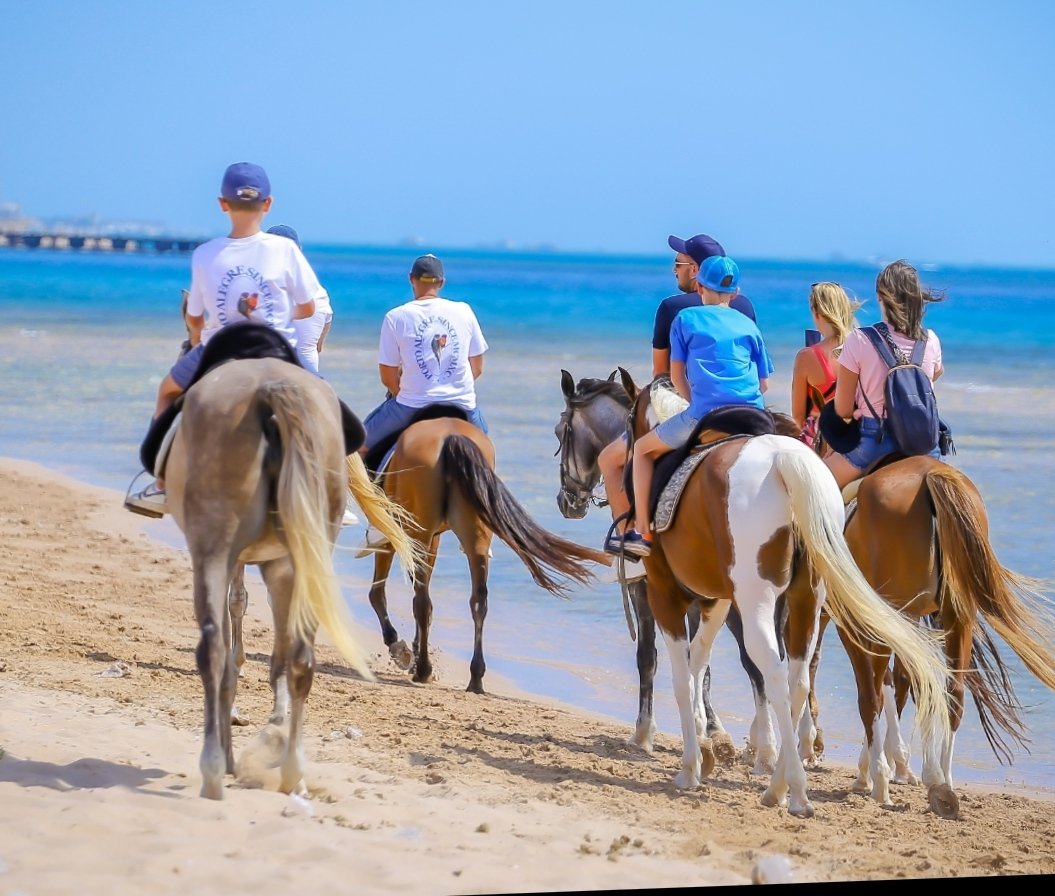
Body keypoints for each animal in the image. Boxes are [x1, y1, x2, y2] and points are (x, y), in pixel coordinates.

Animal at [162, 353, 422, 800]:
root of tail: (271, 388)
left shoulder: (241, 560)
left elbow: (236, 635)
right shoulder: (278, 563)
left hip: (214, 547)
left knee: (213, 649)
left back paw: (215, 771)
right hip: (302, 555)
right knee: (299, 657)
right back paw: (291, 773)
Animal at [363, 410, 613, 694]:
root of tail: (451, 437)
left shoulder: (398, 528)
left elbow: (378, 592)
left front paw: (400, 648)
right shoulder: (430, 538)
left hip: (420, 529)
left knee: (422, 600)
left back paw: (424, 669)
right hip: (475, 537)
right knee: (477, 600)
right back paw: (475, 677)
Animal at [619, 369, 952, 818]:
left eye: (628, 425)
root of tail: (783, 460)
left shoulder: (665, 593)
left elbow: (682, 677)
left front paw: (690, 766)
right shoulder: (717, 602)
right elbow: (698, 666)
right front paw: (706, 750)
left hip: (759, 601)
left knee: (774, 672)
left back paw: (794, 789)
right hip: (807, 600)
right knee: (798, 679)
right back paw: (780, 785)